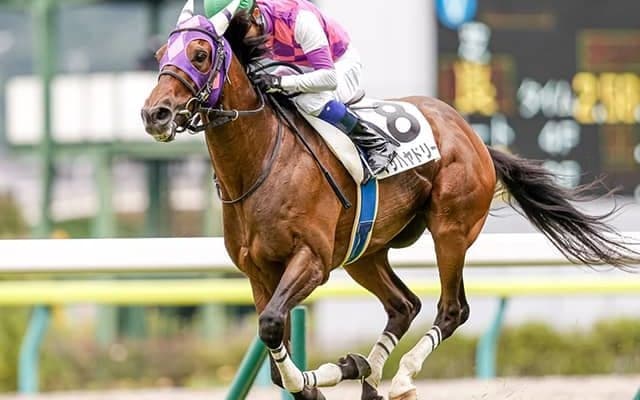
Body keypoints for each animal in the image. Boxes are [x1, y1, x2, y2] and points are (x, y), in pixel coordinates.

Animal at [141, 4, 638, 400]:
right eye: (160, 56)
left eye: (200, 55)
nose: (154, 114)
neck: (262, 163)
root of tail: (474, 136)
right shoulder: (258, 271)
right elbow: (272, 339)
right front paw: (317, 379)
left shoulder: (312, 260)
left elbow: (272, 325)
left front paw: (312, 385)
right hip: (364, 251)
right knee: (403, 305)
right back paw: (362, 370)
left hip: (450, 230)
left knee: (451, 309)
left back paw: (399, 378)